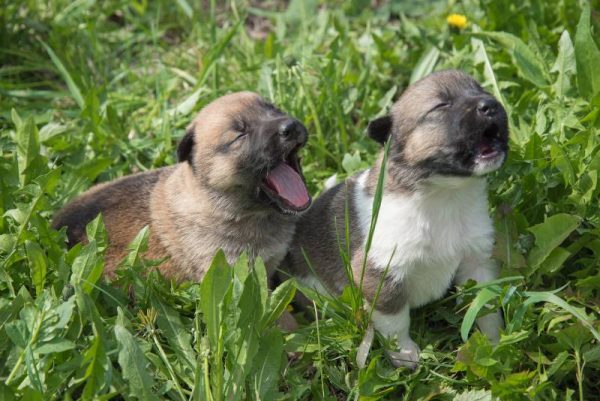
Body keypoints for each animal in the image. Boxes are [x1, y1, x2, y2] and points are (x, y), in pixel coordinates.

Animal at [284, 69, 508, 368]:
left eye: (482, 90)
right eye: (441, 105)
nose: (491, 105)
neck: (443, 194)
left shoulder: (477, 262)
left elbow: (486, 305)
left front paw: (494, 343)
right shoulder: (380, 274)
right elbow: (395, 321)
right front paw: (405, 354)